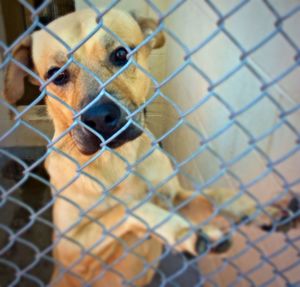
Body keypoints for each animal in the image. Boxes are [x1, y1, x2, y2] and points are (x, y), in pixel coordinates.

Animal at [3, 7, 298, 286]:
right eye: (57, 75)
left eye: (121, 54)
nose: (99, 118)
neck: (118, 159)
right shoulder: (72, 248)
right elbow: (129, 207)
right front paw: (184, 232)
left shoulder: (174, 196)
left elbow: (216, 195)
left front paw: (260, 209)